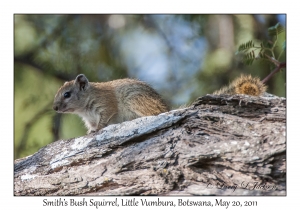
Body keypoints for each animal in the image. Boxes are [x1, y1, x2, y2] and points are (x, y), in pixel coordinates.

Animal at [52, 73, 266, 134]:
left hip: (136, 101)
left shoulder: (106, 105)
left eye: (67, 94)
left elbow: (105, 119)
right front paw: (91, 131)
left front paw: (98, 130)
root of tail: (165, 108)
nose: (54, 108)